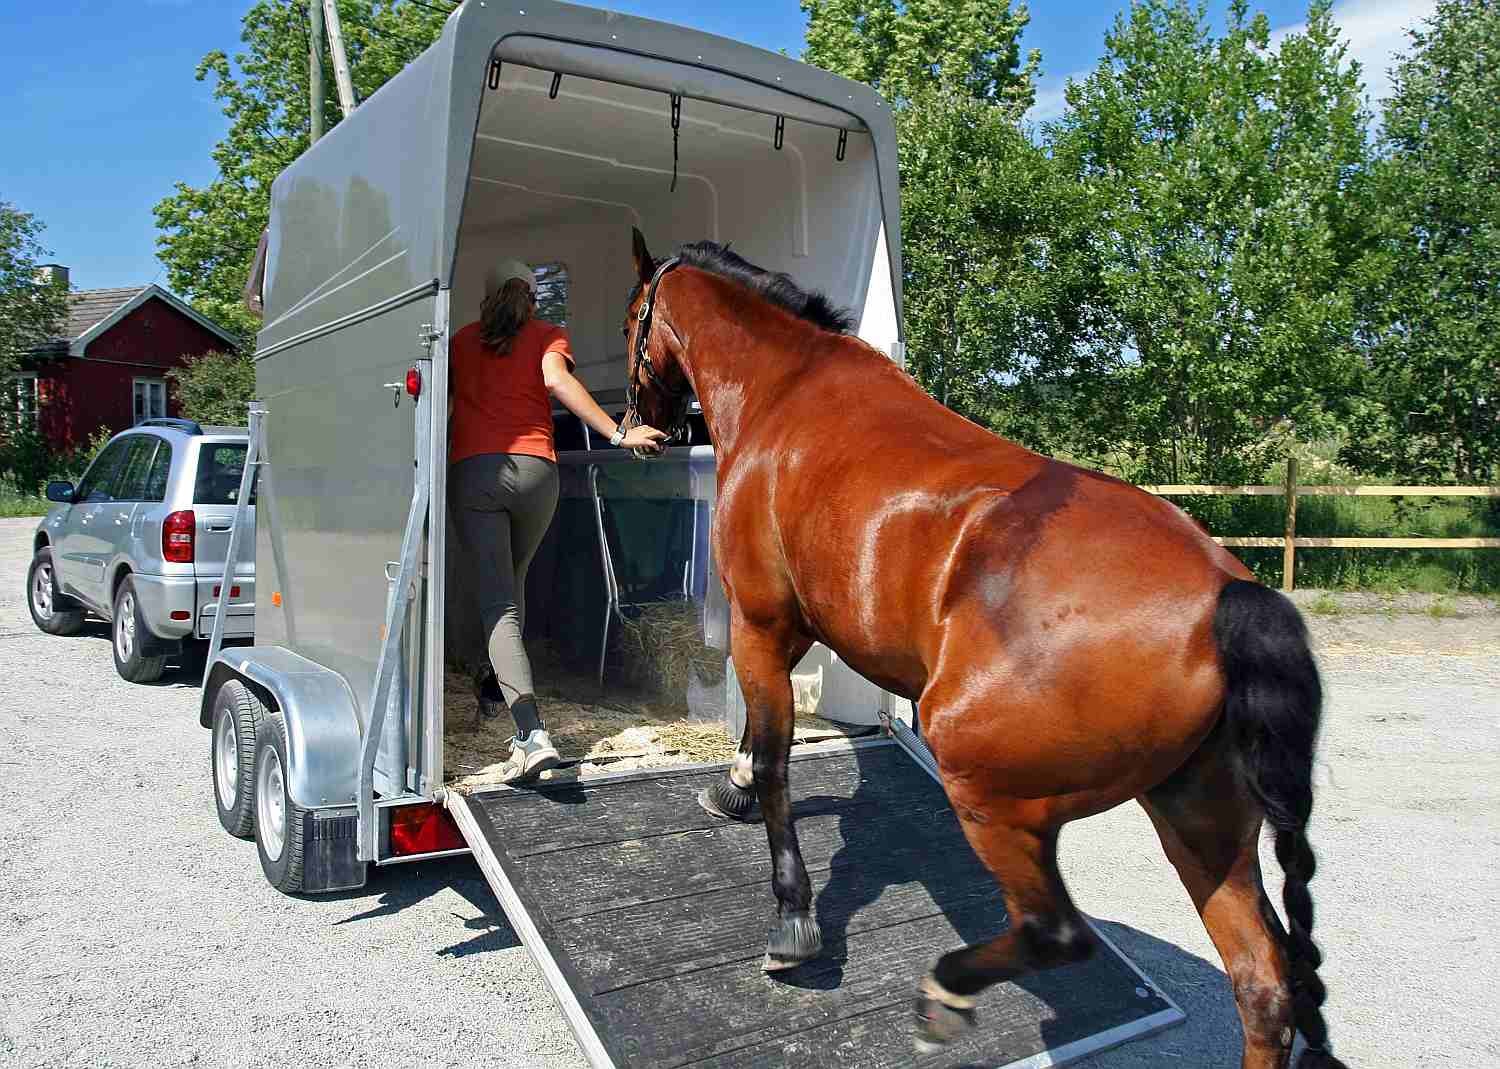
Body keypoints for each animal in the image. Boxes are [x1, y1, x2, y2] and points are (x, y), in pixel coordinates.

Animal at [619, 228, 1346, 1069]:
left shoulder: (761, 623)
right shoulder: (788, 628)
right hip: (1201, 823)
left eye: (633, 317)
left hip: (993, 794)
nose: (635, 425)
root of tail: (1232, 596)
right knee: (1264, 986)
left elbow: (773, 759)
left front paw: (792, 918)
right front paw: (730, 788)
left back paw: (946, 990)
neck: (787, 392)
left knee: (1056, 932)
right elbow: (759, 747)